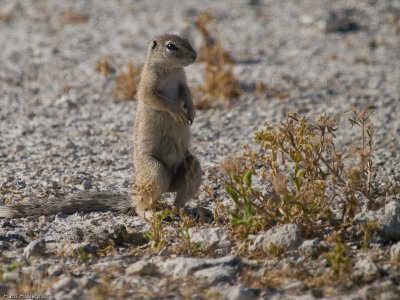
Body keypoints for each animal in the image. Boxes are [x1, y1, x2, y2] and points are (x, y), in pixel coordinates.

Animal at [0, 34, 200, 219]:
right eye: (171, 46)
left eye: (187, 40)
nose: (194, 56)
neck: (171, 70)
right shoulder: (147, 84)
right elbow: (156, 99)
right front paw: (177, 111)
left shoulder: (182, 81)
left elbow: (187, 93)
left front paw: (191, 112)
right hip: (154, 172)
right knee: (142, 204)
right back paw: (151, 214)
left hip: (192, 167)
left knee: (181, 192)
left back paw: (180, 211)